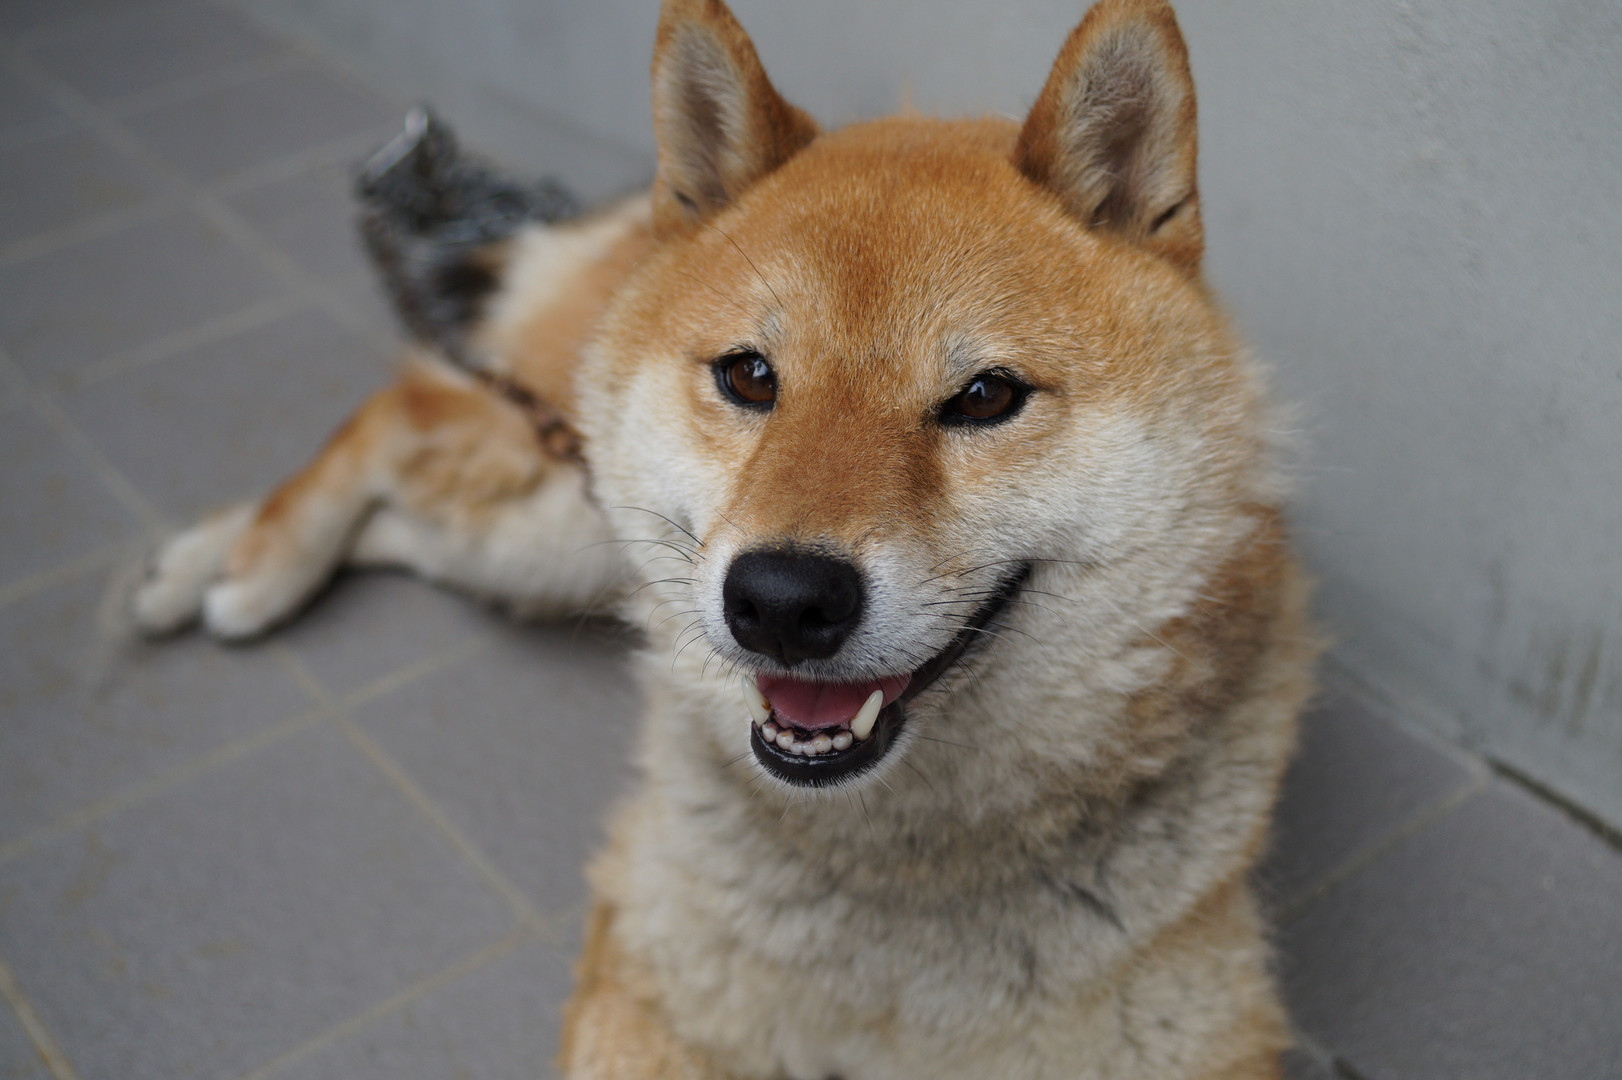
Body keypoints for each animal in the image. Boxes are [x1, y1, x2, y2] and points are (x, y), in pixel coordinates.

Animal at [136, 0, 1317, 1076]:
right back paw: (244, 572)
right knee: (398, 413)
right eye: (750, 376)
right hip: (554, 517)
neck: (893, 888)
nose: (782, 601)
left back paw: (209, 562)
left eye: (984, 397)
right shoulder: (643, 966)